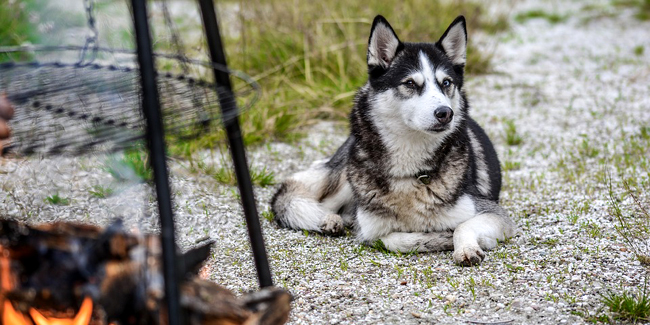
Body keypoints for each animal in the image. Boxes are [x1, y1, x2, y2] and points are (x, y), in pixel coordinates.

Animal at [268, 15, 512, 264]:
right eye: (410, 83)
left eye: (446, 83)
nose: (445, 113)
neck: (410, 169)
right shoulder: (372, 230)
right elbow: (392, 239)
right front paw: (438, 238)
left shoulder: (493, 213)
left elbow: (463, 226)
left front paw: (465, 248)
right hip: (345, 177)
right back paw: (328, 219)